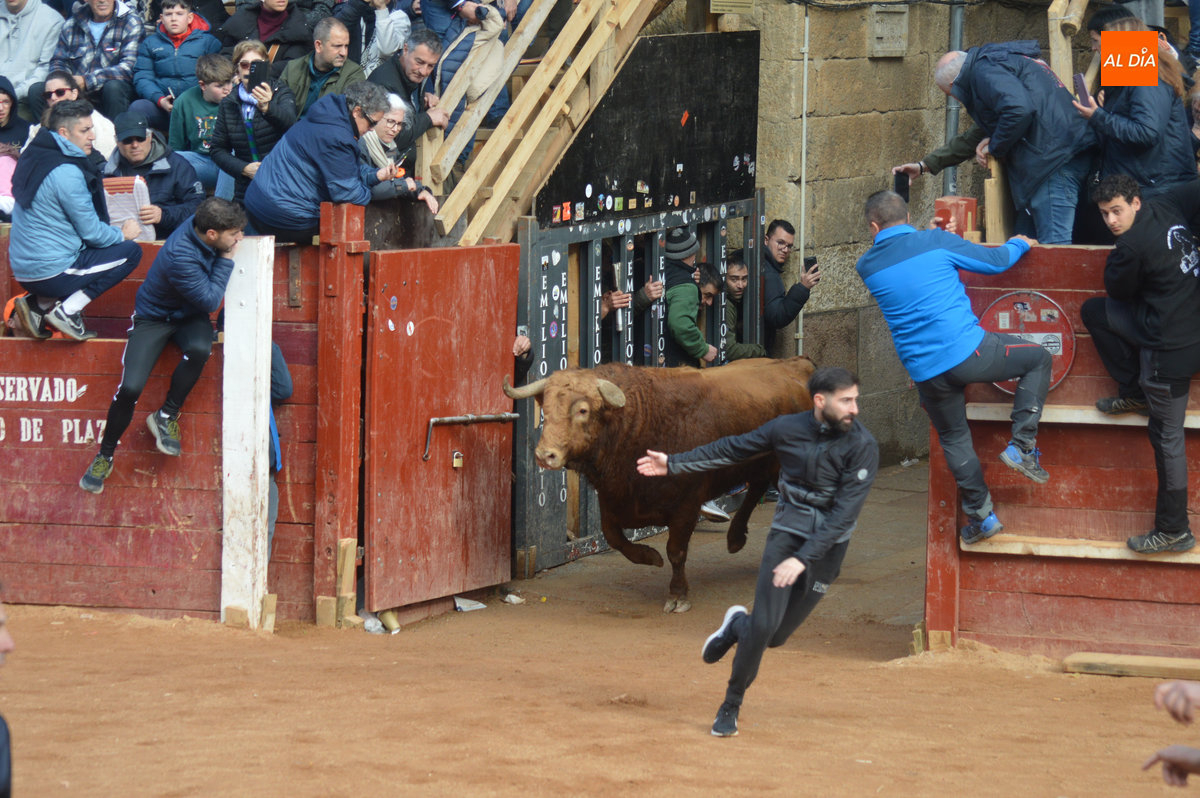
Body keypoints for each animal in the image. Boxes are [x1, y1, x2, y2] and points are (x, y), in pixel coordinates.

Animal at [503, 357, 815, 613]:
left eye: (582, 410)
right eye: (545, 407)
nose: (546, 455)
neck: (640, 423)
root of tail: (797, 364)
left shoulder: (687, 504)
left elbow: (676, 551)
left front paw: (678, 595)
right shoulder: (612, 497)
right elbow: (613, 537)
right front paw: (649, 556)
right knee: (757, 489)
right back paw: (736, 538)